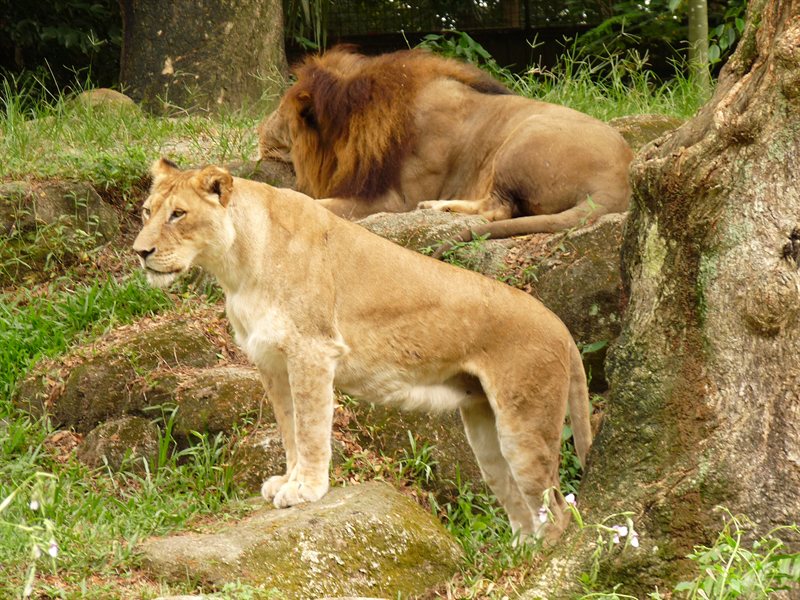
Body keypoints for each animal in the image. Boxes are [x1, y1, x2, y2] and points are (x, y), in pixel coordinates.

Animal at [133, 158, 593, 542]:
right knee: (520, 502)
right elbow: (288, 428)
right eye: (147, 211)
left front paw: (306, 490)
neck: (237, 266)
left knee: (557, 508)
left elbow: (311, 428)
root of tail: (559, 325)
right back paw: (520, 553)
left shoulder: (312, 350)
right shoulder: (272, 362)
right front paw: (288, 480)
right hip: (486, 433)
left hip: (524, 424)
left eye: (178, 214)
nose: (140, 252)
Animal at [259, 47, 633, 256]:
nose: (257, 130)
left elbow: (312, 202)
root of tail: (618, 184)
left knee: (498, 209)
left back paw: (439, 206)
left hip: (523, 138)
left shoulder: (394, 199)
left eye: (279, 112)